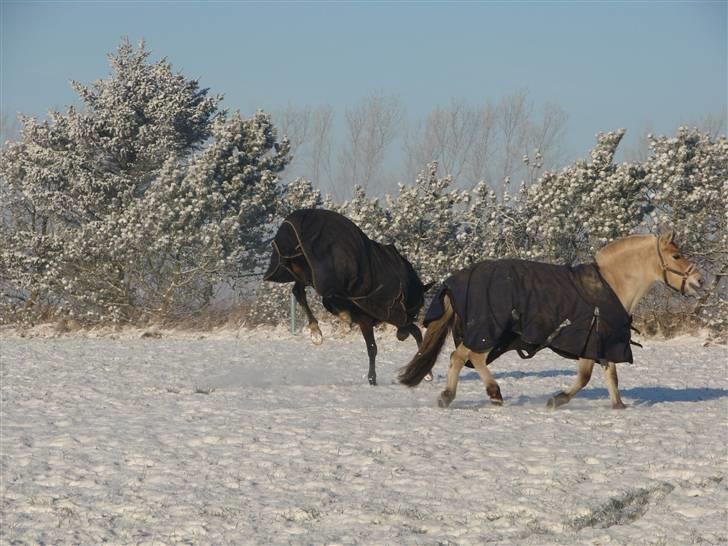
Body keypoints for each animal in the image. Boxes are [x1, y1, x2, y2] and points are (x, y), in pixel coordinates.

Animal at [264, 208, 432, 382]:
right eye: (419, 305)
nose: (401, 336)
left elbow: (414, 333)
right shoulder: (379, 316)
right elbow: (375, 347)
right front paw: (373, 378)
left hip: (304, 272)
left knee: (300, 292)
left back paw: (319, 330)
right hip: (315, 274)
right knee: (312, 294)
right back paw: (322, 329)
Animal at [400, 226, 704, 408]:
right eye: (676, 255)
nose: (699, 281)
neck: (612, 284)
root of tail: (457, 279)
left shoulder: (602, 342)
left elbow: (611, 377)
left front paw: (619, 406)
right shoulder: (589, 340)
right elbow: (584, 377)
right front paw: (557, 400)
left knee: (464, 357)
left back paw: (468, 395)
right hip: (488, 330)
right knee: (466, 356)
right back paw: (481, 393)